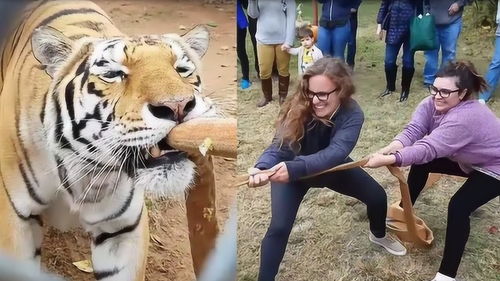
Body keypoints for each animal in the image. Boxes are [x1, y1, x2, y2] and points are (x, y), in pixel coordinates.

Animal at [0, 1, 219, 278]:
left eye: (182, 70)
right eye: (114, 74)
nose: (178, 106)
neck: (86, 173)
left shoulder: (122, 228)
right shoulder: (15, 222)